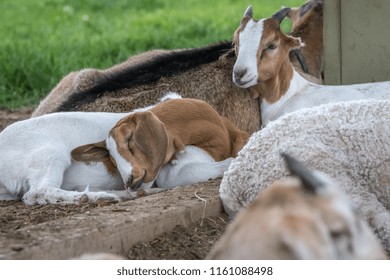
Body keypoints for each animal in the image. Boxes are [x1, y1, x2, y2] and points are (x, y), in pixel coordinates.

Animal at [0, 97, 248, 205]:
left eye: (129, 142)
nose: (130, 180)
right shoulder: (172, 170)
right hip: (49, 154)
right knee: (37, 192)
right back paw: (98, 197)